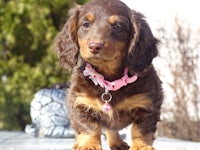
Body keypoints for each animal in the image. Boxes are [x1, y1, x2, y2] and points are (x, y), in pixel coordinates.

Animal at [54, 0, 162, 149]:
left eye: (117, 26)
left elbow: (140, 129)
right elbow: (89, 127)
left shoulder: (149, 104)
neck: (110, 81)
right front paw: (89, 145)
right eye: (86, 24)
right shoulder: (80, 102)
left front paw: (141, 146)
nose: (95, 46)